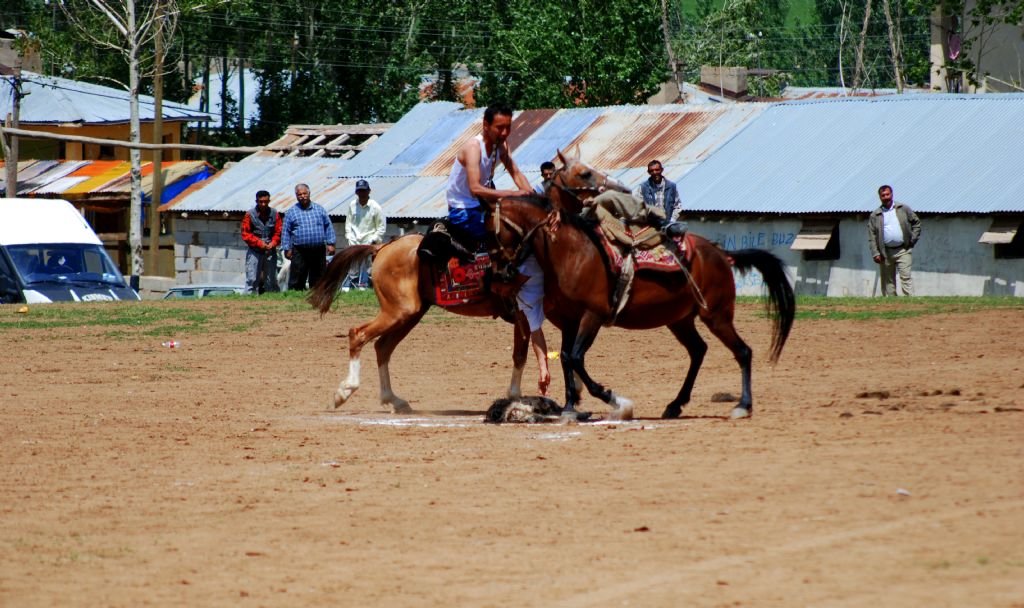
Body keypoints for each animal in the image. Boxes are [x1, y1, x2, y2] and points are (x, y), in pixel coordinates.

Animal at [483, 152, 794, 417]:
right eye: (583, 173)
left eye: (492, 229)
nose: (500, 272)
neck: (572, 250)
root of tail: (721, 253)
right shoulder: (568, 321)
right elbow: (567, 359)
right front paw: (571, 406)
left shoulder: (593, 315)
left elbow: (576, 358)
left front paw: (614, 400)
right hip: (680, 319)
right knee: (698, 351)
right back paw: (675, 405)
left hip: (716, 315)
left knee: (743, 351)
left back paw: (743, 405)